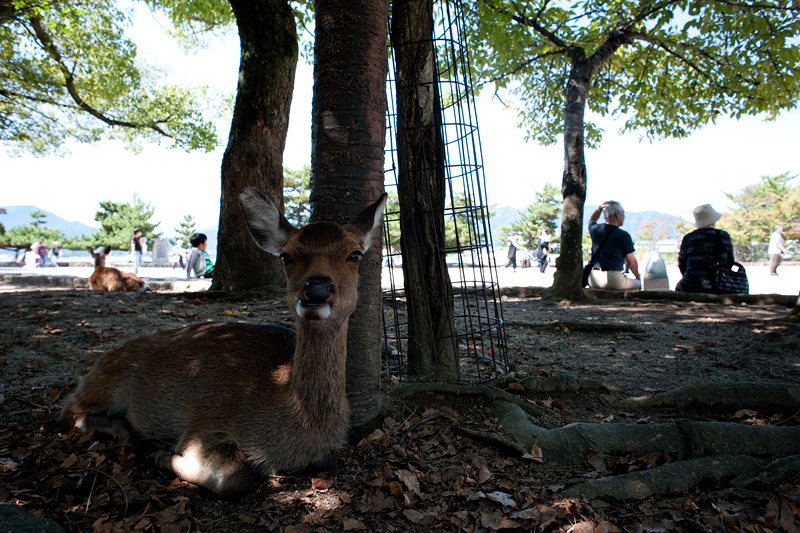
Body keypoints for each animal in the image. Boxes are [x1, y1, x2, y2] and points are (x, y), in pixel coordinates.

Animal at [60, 189, 388, 496]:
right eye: (287, 256)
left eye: (355, 254)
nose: (317, 287)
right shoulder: (204, 425)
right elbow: (237, 477)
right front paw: (159, 454)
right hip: (104, 383)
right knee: (70, 411)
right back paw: (130, 433)